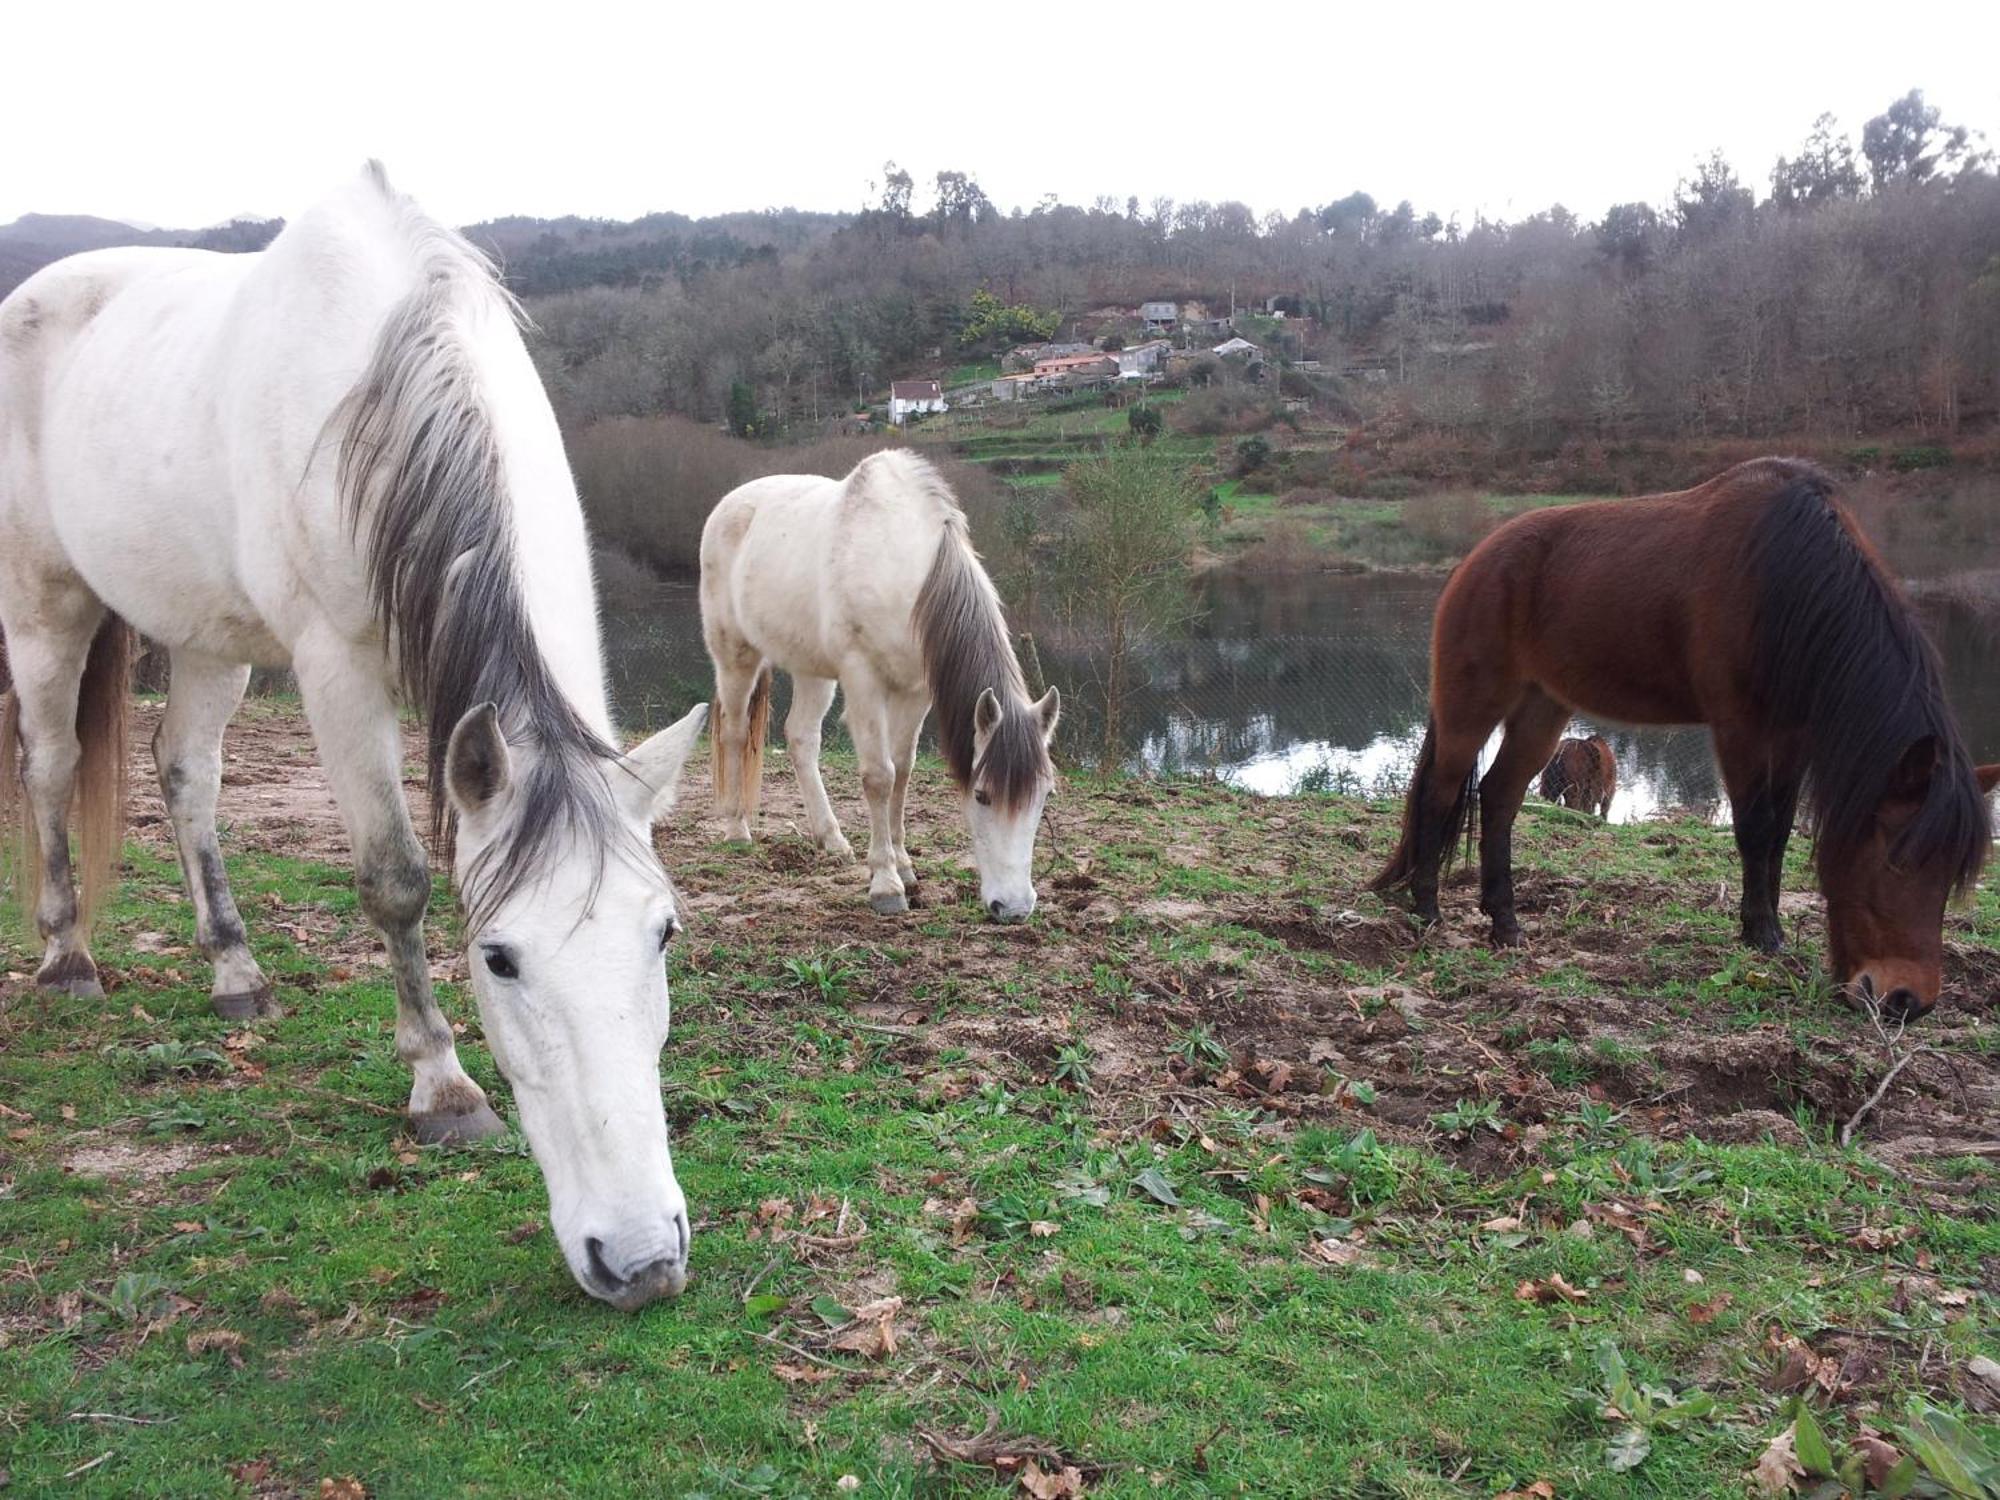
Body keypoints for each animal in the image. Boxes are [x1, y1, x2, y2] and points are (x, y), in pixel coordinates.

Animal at [0, 167, 712, 1312]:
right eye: (498, 959)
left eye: (663, 935)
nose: (642, 1260)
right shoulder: (334, 670)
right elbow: (395, 881)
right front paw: (443, 1086)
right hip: (43, 606)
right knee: (53, 768)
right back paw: (68, 959)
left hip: (207, 635)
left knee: (184, 773)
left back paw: (236, 973)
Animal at [704, 446, 1056, 924]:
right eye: (982, 796)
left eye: (1043, 797)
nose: (1015, 908)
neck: (903, 567)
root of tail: (729, 504)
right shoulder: (863, 680)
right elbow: (879, 776)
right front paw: (886, 884)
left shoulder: (917, 691)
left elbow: (903, 771)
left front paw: (904, 865)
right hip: (736, 657)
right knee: (737, 733)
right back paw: (737, 829)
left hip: (813, 670)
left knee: (801, 738)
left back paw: (831, 839)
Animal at [1376, 458, 2000, 1024]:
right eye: (1896, 860)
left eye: (1953, 873)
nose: (1907, 1000)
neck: (1784, 579)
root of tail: (1475, 560)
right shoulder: (1740, 728)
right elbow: (1755, 828)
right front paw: (1761, 933)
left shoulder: (1791, 736)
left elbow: (1779, 833)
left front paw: (1769, 928)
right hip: (1472, 705)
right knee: (1442, 791)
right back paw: (1427, 907)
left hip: (1542, 708)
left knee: (1500, 796)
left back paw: (1505, 923)